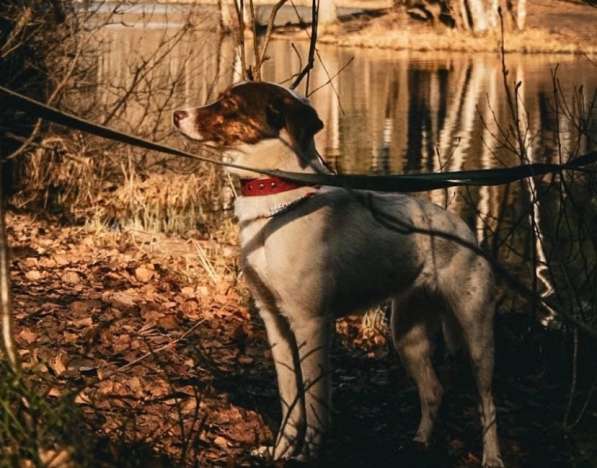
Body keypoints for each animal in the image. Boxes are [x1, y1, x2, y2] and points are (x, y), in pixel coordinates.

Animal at [172, 82, 502, 466]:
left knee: (487, 401)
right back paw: (420, 441)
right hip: (407, 334)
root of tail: (463, 230)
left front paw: (308, 455)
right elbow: (290, 399)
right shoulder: (274, 321)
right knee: (434, 390)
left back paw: (492, 457)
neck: (278, 202)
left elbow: (314, 401)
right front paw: (280, 451)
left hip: (477, 335)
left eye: (229, 104)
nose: (177, 114)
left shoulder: (311, 323)